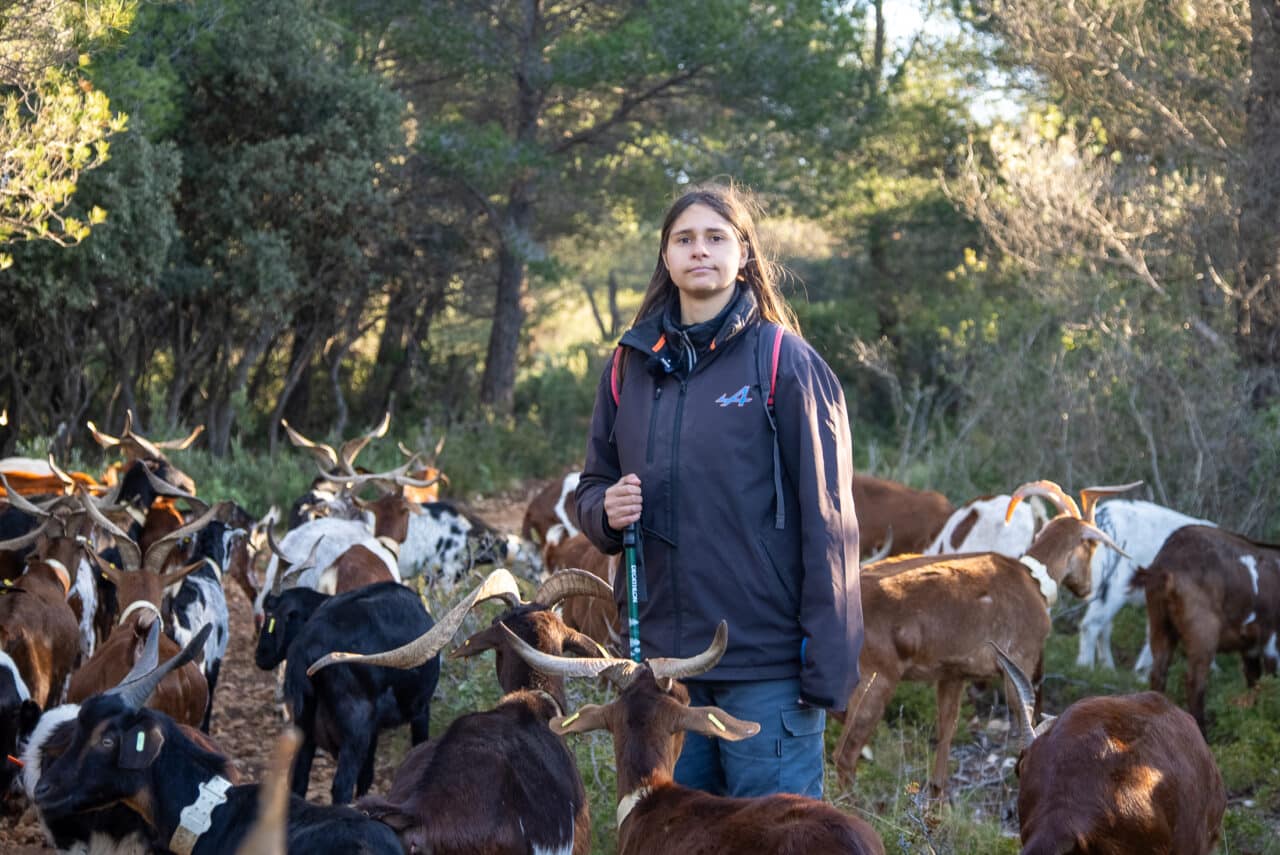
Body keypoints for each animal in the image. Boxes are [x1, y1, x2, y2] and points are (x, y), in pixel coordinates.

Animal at [834, 478, 1136, 798]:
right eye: (1090, 545)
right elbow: (1024, 719)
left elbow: (947, 731)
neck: (1031, 579)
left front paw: (938, 798)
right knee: (844, 754)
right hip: (877, 678)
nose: (1087, 589)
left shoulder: (952, 674)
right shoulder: (1019, 664)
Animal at [1141, 524, 1280, 732]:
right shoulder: (1272, 639)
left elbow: (1254, 680)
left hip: (1159, 621)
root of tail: (1168, 562)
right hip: (1203, 629)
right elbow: (1271, 681)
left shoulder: (1250, 647)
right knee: (1194, 683)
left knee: (1158, 673)